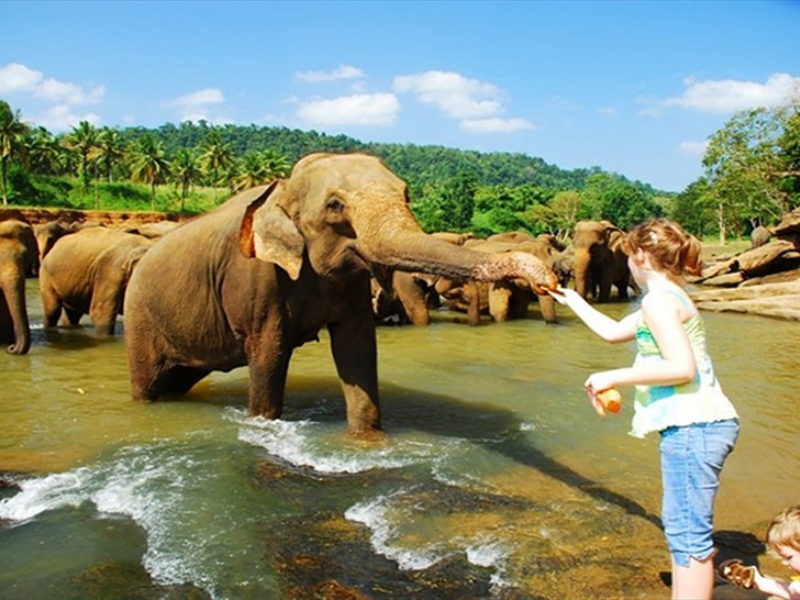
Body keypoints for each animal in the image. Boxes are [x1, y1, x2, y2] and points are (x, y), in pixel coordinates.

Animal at [125, 152, 560, 438]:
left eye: (406, 194)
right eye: (335, 206)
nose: (548, 279)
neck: (282, 187)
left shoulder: (351, 283)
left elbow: (356, 348)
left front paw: (367, 442)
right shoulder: (256, 280)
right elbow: (269, 354)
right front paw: (263, 426)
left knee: (177, 380)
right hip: (140, 319)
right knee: (148, 385)